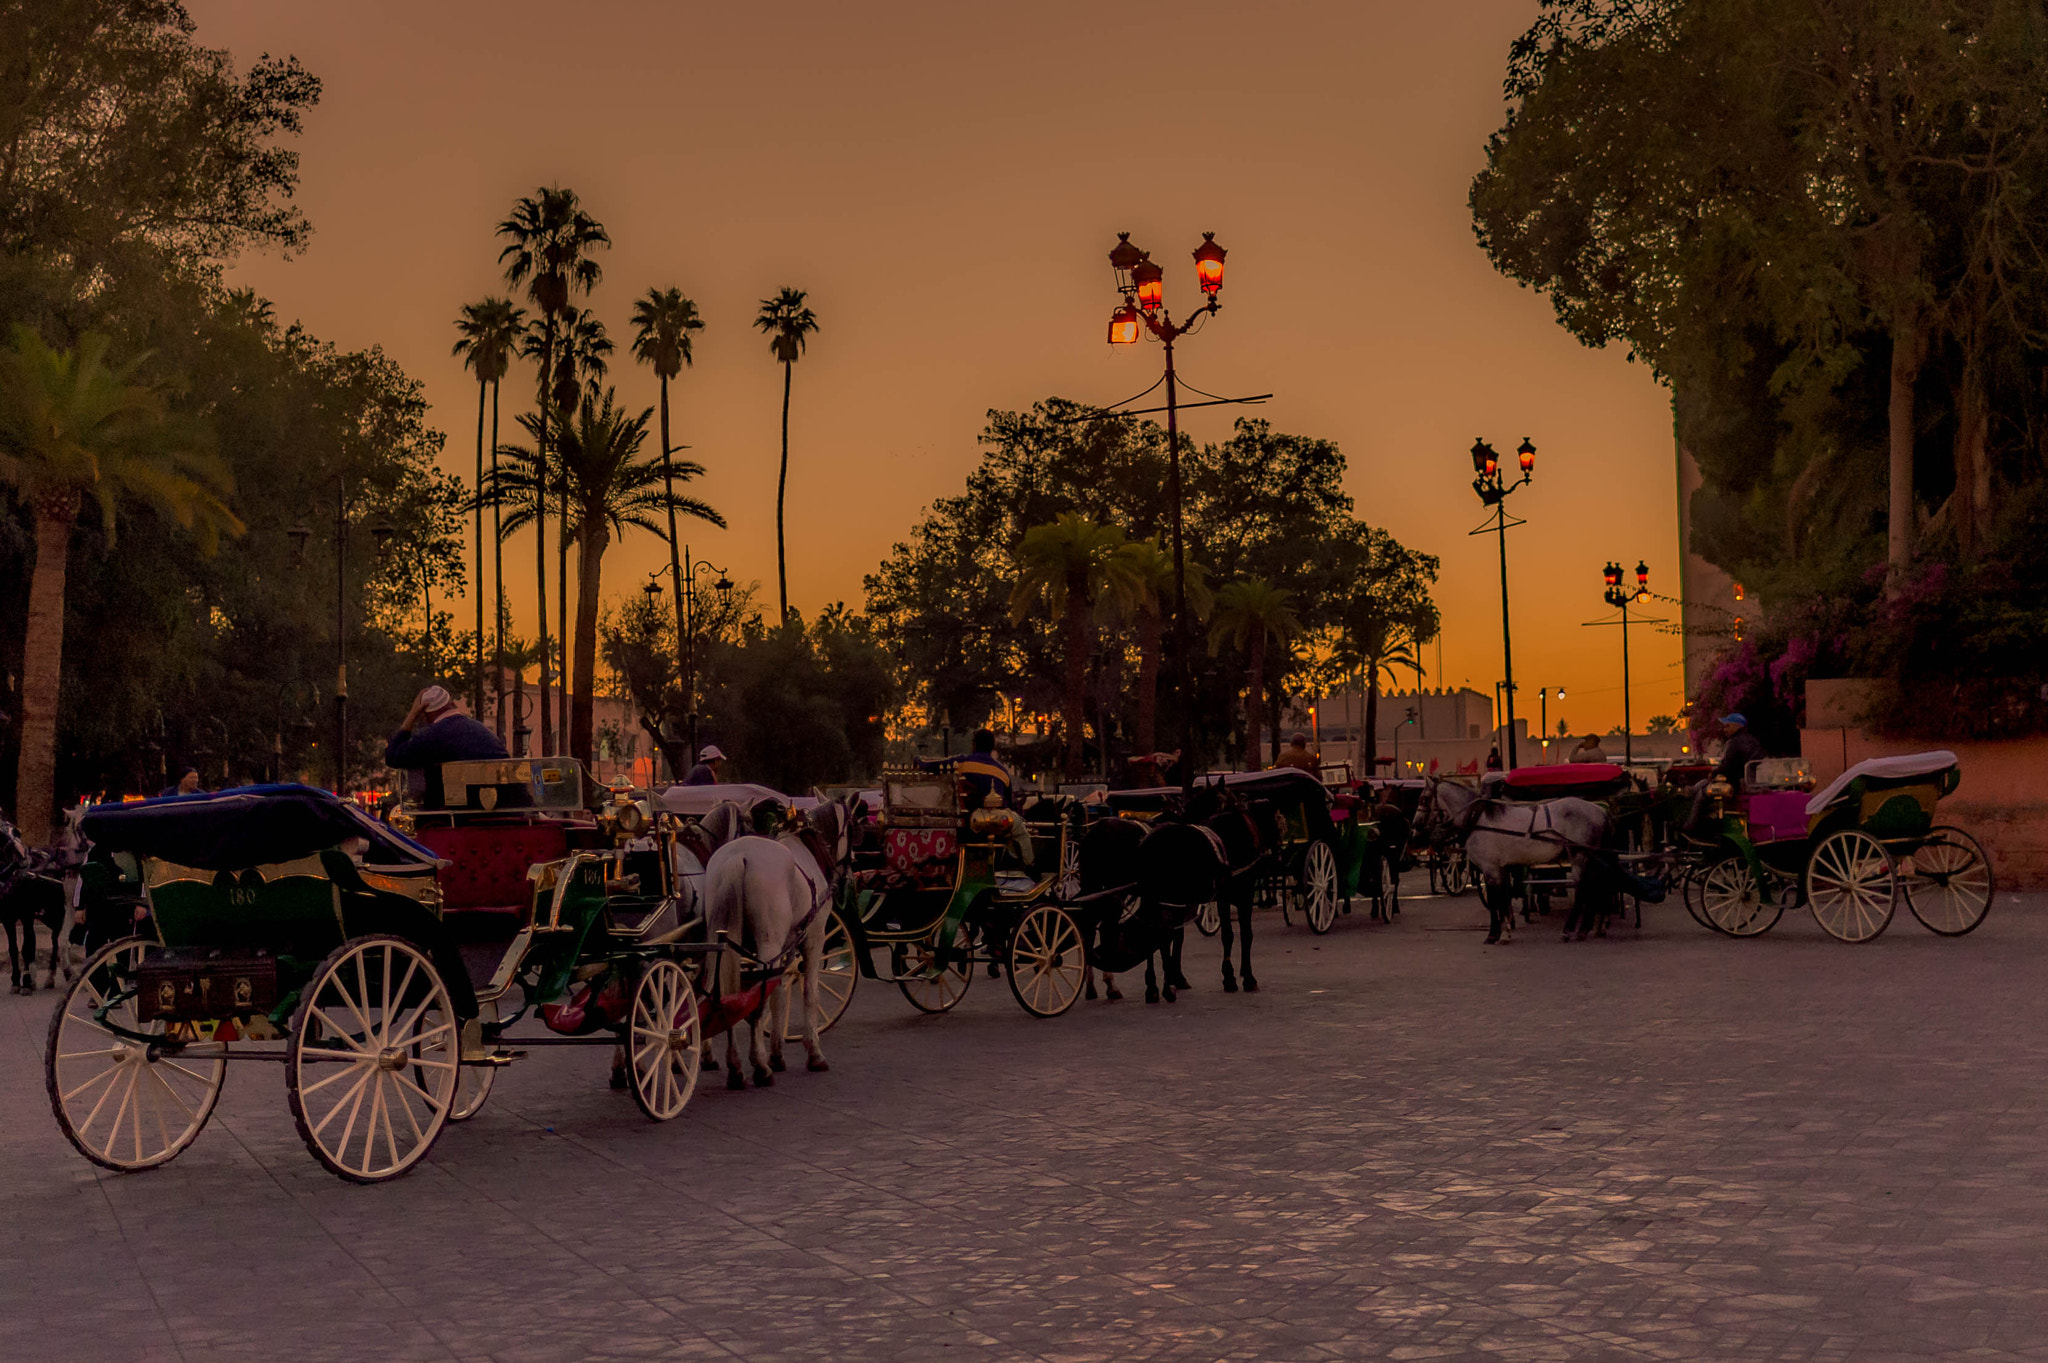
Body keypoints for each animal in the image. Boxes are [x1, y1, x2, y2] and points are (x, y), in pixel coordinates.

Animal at [696, 789, 856, 1088]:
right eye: (855, 827)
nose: (849, 876)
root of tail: (739, 857)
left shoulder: (787, 945)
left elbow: (778, 992)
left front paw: (777, 1054)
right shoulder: (814, 937)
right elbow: (809, 993)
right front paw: (813, 1053)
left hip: (718, 938)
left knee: (721, 990)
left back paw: (734, 1065)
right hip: (768, 943)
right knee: (755, 993)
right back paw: (758, 1067)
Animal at [1425, 781, 1597, 941]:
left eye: (1424, 799)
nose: (1422, 834)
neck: (1478, 819)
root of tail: (1598, 810)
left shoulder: (1490, 868)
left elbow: (1495, 899)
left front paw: (1494, 934)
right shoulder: (1500, 868)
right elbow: (1503, 895)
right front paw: (1506, 928)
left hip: (1580, 856)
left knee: (1583, 889)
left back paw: (1570, 929)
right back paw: (1584, 929)